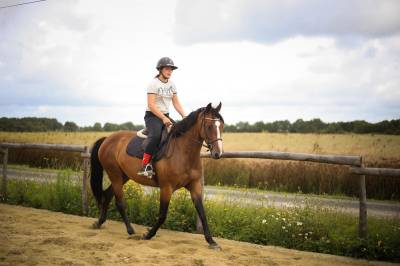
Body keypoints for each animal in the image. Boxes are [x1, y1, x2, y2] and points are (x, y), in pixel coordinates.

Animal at [88, 102, 223, 249]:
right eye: (209, 126)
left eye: (221, 126)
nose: (218, 153)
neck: (183, 152)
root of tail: (107, 139)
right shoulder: (166, 188)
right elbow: (162, 215)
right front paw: (148, 235)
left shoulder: (195, 186)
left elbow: (202, 213)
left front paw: (212, 241)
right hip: (115, 175)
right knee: (120, 202)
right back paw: (130, 230)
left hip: (123, 176)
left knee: (107, 195)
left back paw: (99, 223)